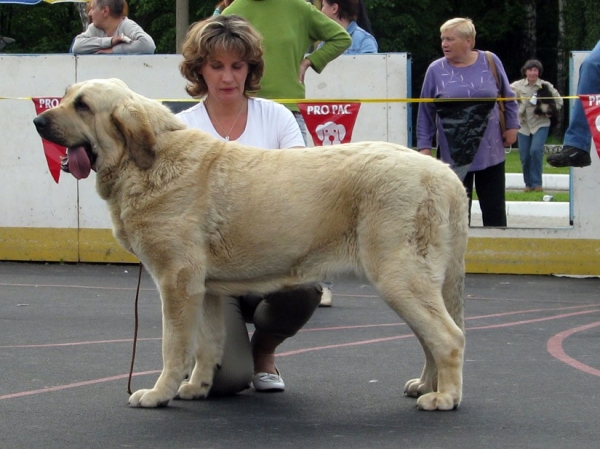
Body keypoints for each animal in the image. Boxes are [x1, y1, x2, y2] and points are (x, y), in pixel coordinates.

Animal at [34, 79, 468, 410]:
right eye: (66, 96)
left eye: (83, 105)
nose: (37, 120)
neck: (146, 161)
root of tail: (444, 173)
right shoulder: (203, 289)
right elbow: (208, 345)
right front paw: (196, 388)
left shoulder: (176, 282)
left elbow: (173, 346)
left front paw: (159, 394)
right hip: (411, 282)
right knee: (430, 336)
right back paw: (426, 385)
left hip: (399, 277)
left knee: (448, 337)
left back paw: (444, 397)